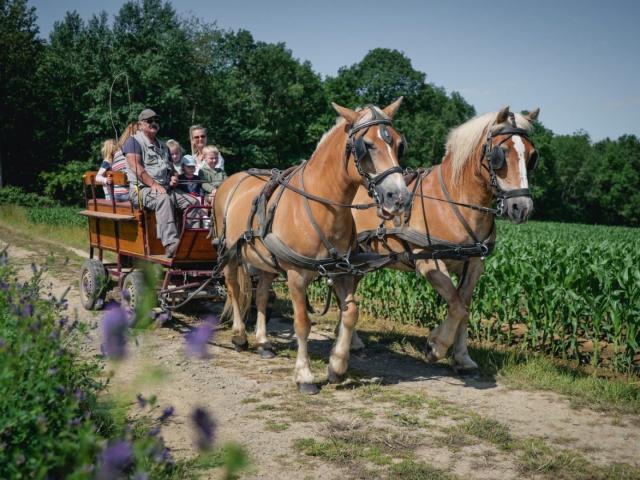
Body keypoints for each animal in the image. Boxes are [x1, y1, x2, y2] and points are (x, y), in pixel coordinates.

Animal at [210, 98, 410, 394]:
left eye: (398, 143)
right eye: (367, 145)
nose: (399, 197)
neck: (323, 207)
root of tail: (231, 180)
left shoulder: (342, 272)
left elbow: (350, 313)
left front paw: (337, 366)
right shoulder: (296, 275)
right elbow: (302, 323)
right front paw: (304, 375)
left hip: (264, 261)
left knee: (261, 296)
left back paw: (263, 342)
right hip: (230, 255)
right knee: (235, 290)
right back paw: (239, 335)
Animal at [350, 107, 540, 374]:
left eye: (531, 155)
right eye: (499, 155)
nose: (521, 207)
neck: (454, 200)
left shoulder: (474, 265)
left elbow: (464, 307)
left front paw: (462, 357)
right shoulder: (430, 262)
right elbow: (457, 307)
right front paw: (435, 345)